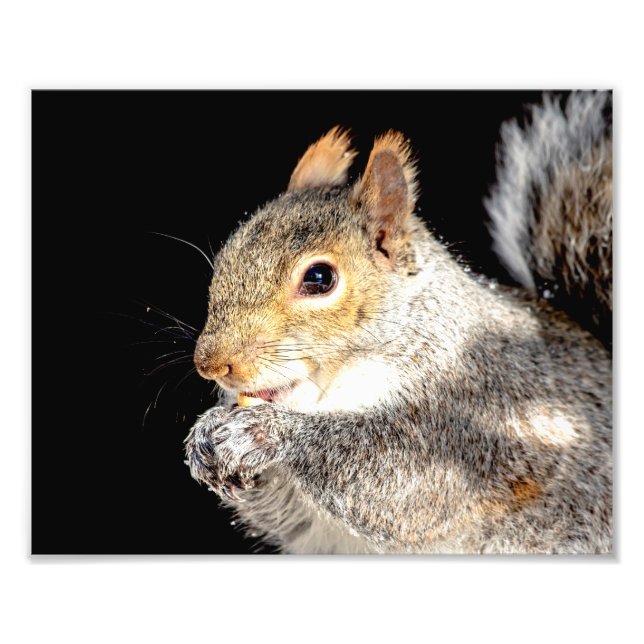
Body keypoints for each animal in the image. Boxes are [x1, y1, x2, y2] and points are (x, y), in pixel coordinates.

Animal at [185, 91, 612, 554]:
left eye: (319, 278)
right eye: (226, 257)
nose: (211, 364)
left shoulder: (470, 419)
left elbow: (402, 483)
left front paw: (264, 433)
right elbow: (287, 515)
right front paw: (205, 435)